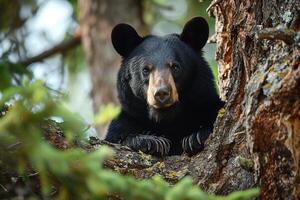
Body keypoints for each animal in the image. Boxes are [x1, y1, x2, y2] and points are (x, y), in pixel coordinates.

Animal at [104, 16, 224, 156]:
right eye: (145, 70)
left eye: (175, 67)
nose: (161, 93)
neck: (167, 119)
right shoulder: (126, 120)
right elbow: (117, 137)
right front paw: (152, 141)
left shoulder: (208, 106)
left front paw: (195, 137)